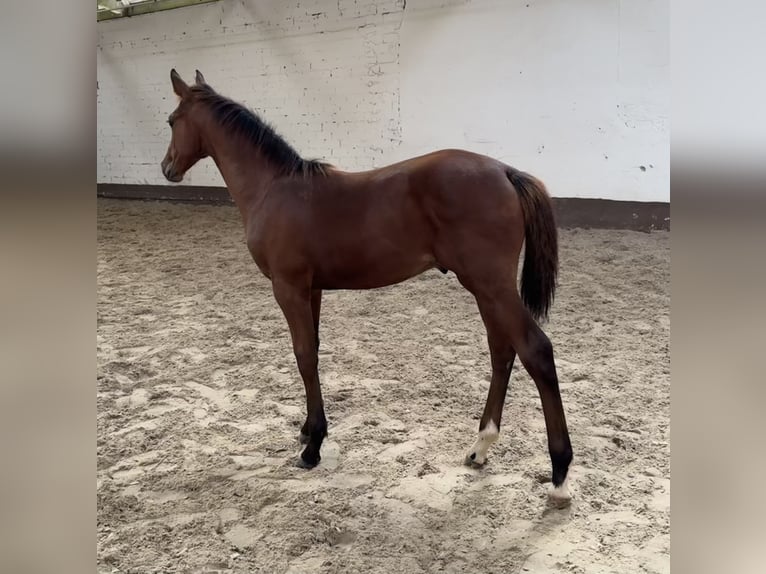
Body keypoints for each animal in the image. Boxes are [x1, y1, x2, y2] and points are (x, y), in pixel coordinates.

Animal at [159, 70, 572, 502]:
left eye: (171, 120)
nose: (167, 168)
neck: (274, 188)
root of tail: (506, 171)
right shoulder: (312, 289)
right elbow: (313, 350)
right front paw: (306, 429)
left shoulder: (288, 287)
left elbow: (303, 355)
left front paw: (313, 446)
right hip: (485, 288)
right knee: (502, 351)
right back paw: (480, 446)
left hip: (491, 284)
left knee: (535, 351)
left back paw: (559, 474)